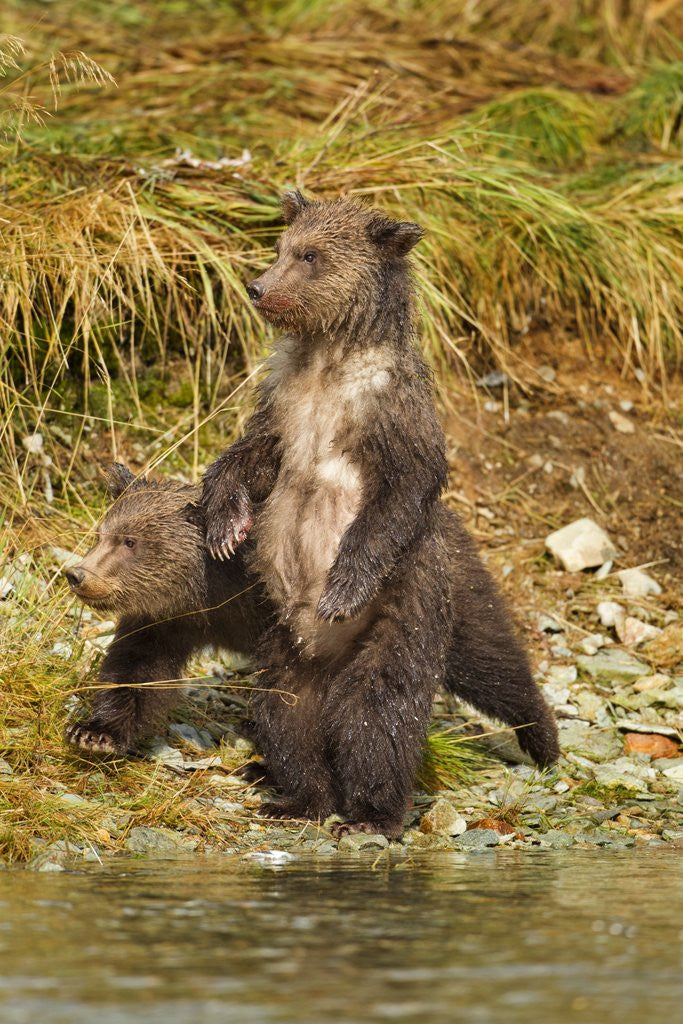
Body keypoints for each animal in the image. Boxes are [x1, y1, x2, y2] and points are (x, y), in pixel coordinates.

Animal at [64, 463, 271, 753]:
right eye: (100, 535)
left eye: (130, 541)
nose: (77, 575)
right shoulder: (168, 618)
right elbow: (138, 667)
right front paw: (94, 732)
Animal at [201, 190, 559, 837]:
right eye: (282, 246)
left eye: (311, 256)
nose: (258, 287)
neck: (330, 359)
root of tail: (327, 656)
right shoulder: (282, 405)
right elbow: (246, 457)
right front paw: (225, 525)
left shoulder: (391, 413)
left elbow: (399, 492)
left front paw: (341, 586)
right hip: (287, 648)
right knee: (286, 715)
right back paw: (300, 797)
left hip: (408, 612)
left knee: (386, 708)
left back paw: (380, 809)